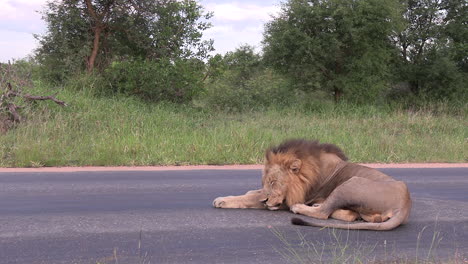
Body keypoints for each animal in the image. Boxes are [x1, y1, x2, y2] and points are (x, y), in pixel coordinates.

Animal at [214, 139, 412, 230]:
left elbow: (252, 198)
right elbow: (253, 193)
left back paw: (301, 208)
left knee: (323, 213)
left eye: (274, 182)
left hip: (350, 184)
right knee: (352, 215)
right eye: (266, 182)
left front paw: (222, 200)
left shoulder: (289, 200)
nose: (266, 201)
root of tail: (404, 204)